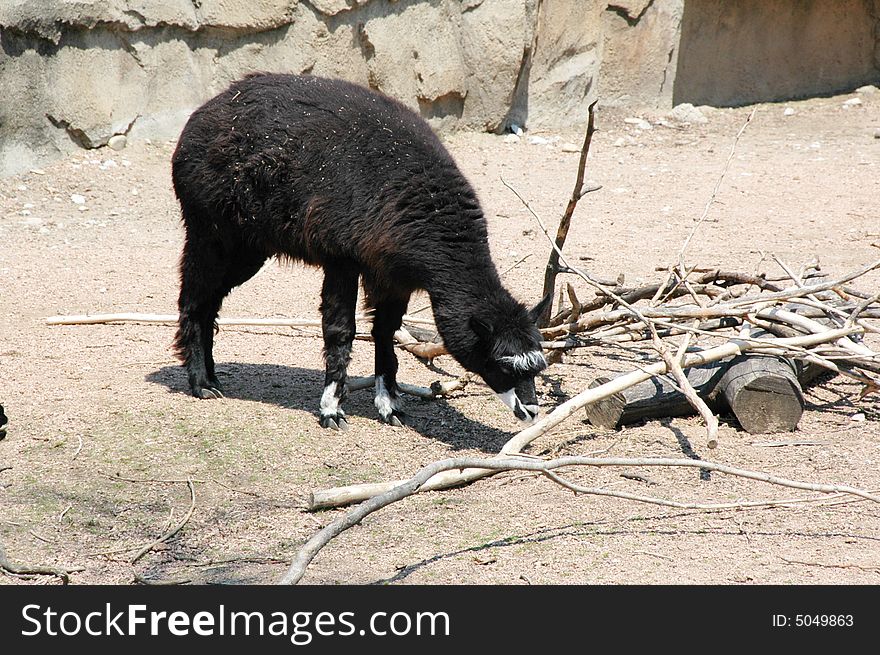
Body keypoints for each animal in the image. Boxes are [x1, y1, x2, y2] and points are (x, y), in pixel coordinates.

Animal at [170, 74, 552, 430]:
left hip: (248, 246)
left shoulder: (392, 272)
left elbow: (386, 331)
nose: (531, 411)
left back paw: (212, 378)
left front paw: (389, 406)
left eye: (537, 367)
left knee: (210, 301)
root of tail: (207, 110)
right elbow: (340, 330)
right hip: (210, 230)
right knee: (193, 298)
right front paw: (331, 409)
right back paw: (201, 383)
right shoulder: (342, 259)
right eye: (501, 364)